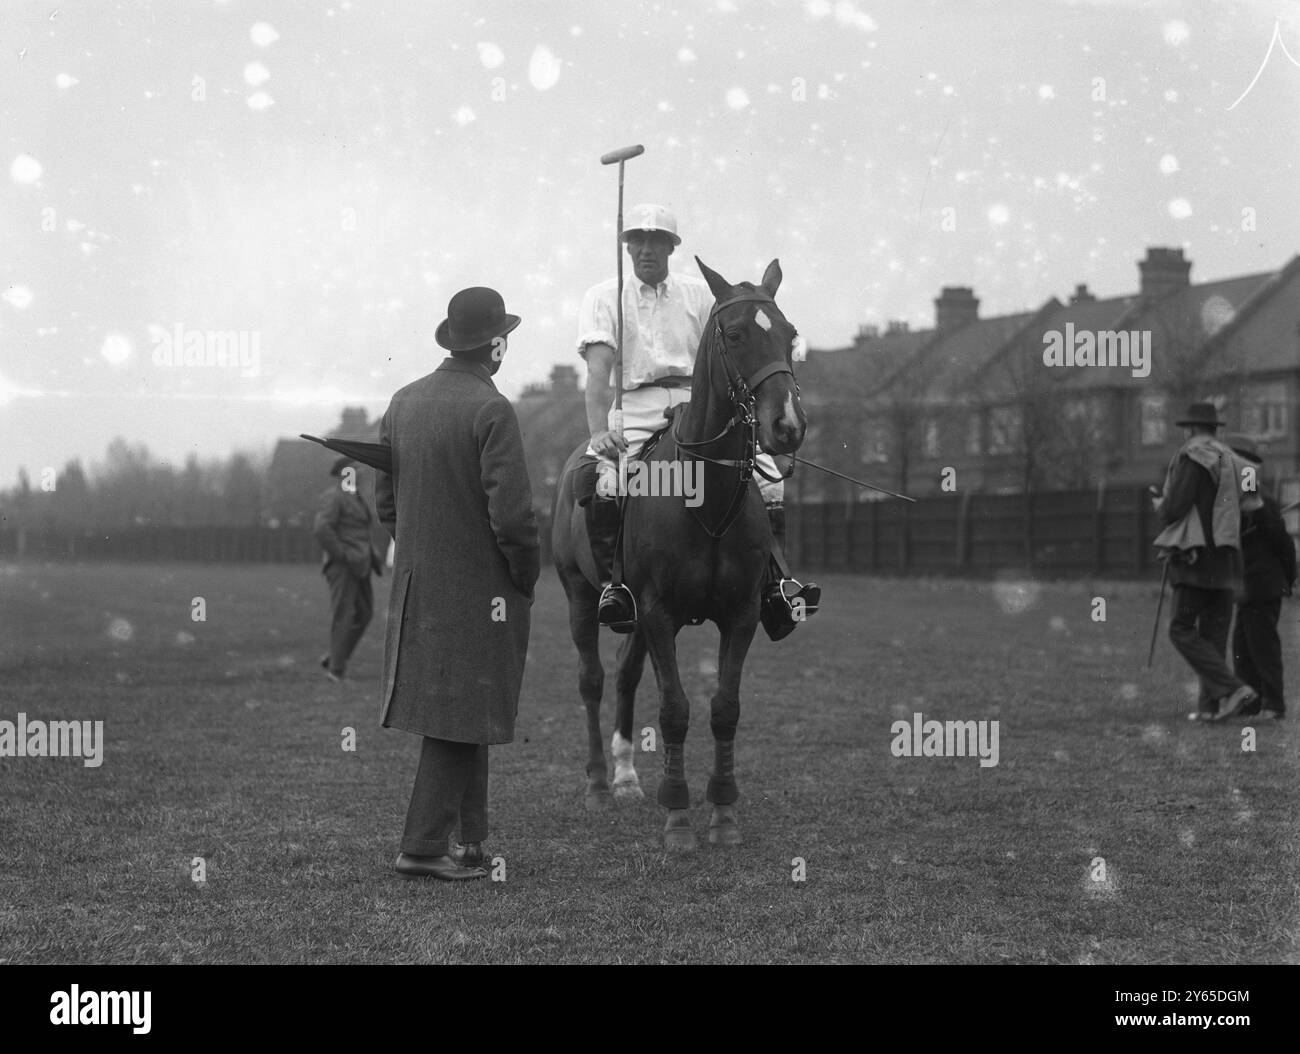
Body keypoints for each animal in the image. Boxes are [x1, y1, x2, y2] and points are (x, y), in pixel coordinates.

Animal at [551, 256, 811, 847]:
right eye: (734, 335)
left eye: (790, 334)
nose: (787, 426)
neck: (705, 499)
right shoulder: (658, 611)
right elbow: (673, 710)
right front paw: (678, 818)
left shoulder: (739, 614)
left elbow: (724, 708)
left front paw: (723, 813)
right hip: (580, 594)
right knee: (591, 679)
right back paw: (598, 785)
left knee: (625, 674)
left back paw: (626, 778)